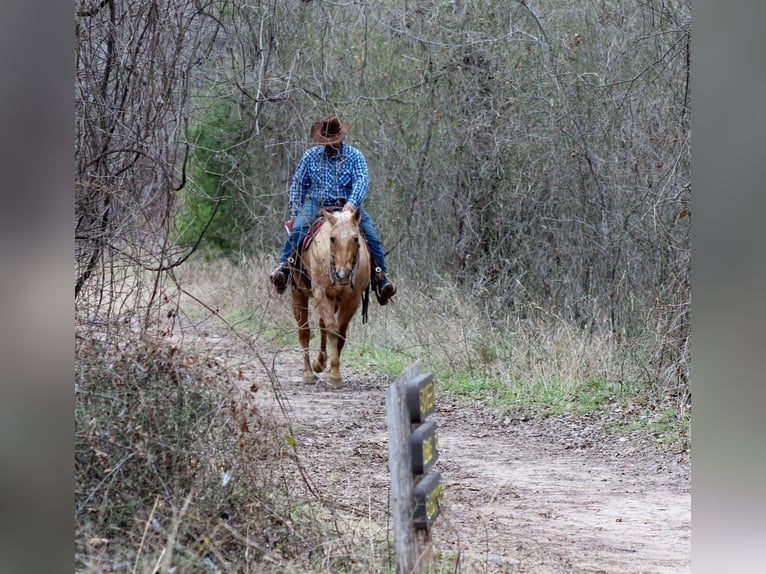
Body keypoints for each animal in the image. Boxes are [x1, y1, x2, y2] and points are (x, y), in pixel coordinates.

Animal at [290, 207, 371, 389]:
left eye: (355, 238)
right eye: (332, 239)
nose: (342, 274)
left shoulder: (352, 299)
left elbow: (339, 332)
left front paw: (332, 370)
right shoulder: (320, 293)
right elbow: (332, 329)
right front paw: (334, 376)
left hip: (333, 301)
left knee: (322, 325)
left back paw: (320, 363)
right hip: (298, 293)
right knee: (304, 331)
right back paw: (308, 374)